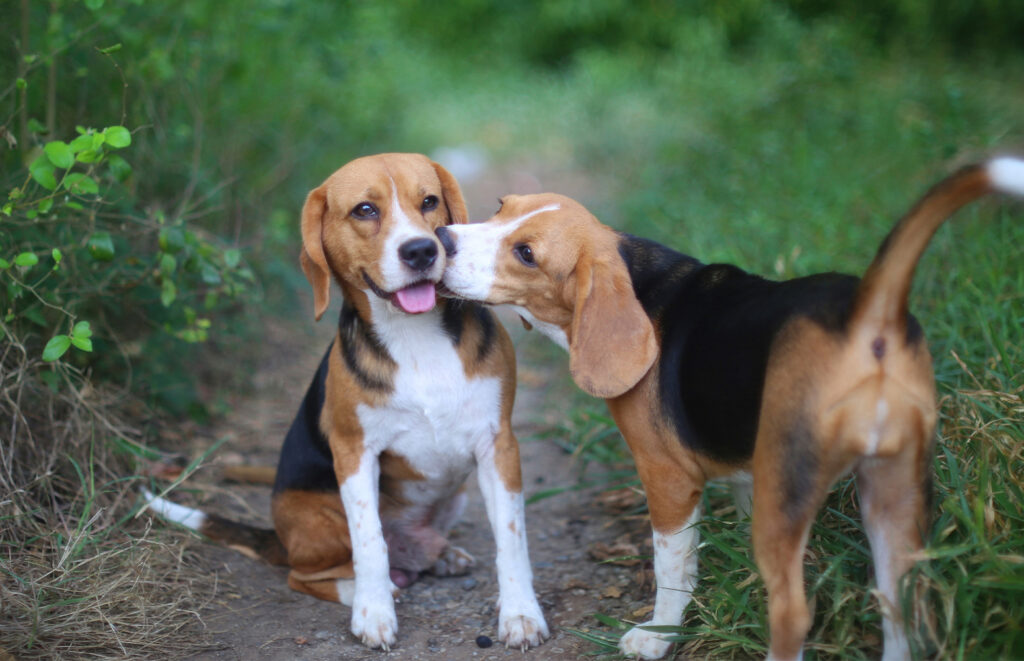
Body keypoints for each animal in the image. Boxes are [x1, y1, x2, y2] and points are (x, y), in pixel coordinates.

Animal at [145, 154, 548, 650]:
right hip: (319, 518)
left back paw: (439, 556)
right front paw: (374, 612)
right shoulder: (354, 452)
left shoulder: (498, 445)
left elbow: (511, 539)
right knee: (306, 575)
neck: (414, 336)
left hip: (453, 498)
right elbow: (370, 541)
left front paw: (520, 614)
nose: (421, 251)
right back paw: (364, 589)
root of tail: (279, 538)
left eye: (429, 201)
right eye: (364, 210)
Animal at [438, 157, 1024, 658]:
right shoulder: (747, 470)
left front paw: (659, 636)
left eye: (526, 254)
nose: (441, 239)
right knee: (900, 605)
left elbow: (673, 569)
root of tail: (867, 313)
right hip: (894, 493)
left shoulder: (668, 479)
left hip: (791, 487)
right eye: (501, 205)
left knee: (793, 614)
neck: (640, 282)